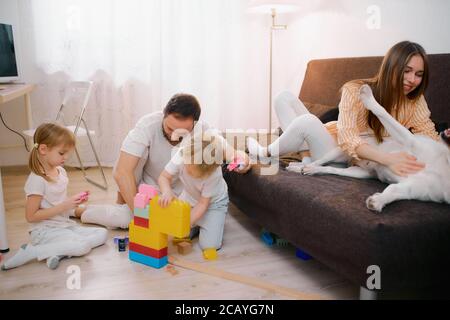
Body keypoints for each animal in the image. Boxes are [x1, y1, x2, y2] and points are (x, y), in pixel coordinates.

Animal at [286, 84, 448, 212]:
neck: (444, 164)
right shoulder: (410, 140)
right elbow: (385, 114)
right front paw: (369, 99)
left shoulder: (411, 188)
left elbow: (393, 190)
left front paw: (379, 201)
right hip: (339, 151)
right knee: (318, 161)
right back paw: (300, 167)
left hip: (359, 173)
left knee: (330, 169)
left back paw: (310, 169)